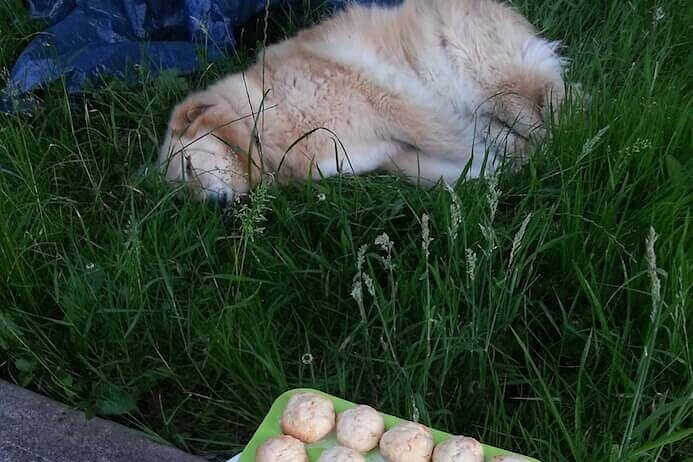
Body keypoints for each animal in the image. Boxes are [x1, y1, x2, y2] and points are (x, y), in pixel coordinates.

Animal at [161, 0, 568, 206]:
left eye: (188, 166)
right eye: (186, 196)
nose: (213, 208)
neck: (261, 121)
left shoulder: (396, 102)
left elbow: (463, 140)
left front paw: (530, 164)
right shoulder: (392, 153)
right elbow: (462, 165)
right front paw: (506, 170)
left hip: (493, 85)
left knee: (558, 111)